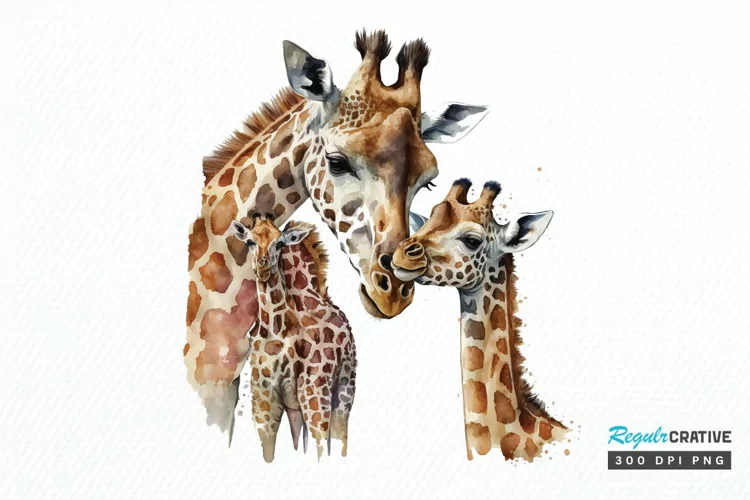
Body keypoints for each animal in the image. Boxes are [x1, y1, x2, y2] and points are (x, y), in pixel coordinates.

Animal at [229, 214, 356, 462]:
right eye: (249, 241)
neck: (275, 328)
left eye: (280, 243)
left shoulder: (298, 395)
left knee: (326, 441)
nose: (263, 268)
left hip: (324, 393)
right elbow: (271, 451)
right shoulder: (267, 399)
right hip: (334, 393)